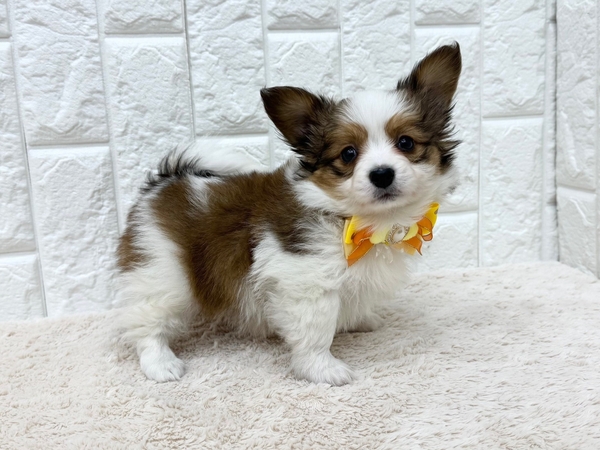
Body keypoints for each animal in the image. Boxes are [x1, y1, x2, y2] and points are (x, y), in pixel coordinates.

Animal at [116, 43, 462, 386]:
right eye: (348, 153)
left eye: (406, 143)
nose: (382, 174)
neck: (355, 221)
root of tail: (165, 180)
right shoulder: (307, 283)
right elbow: (316, 333)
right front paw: (323, 369)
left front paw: (360, 320)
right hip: (162, 273)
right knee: (147, 323)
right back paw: (161, 364)